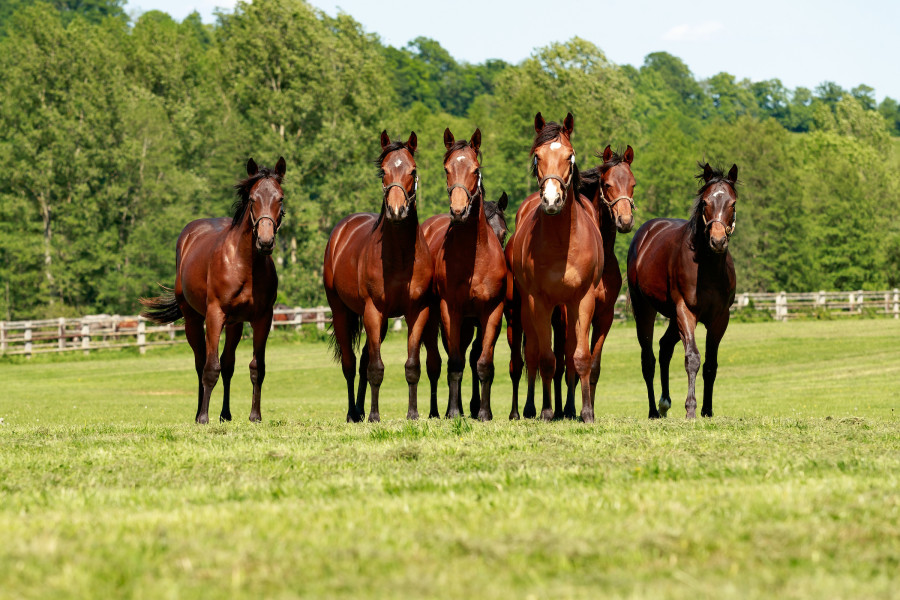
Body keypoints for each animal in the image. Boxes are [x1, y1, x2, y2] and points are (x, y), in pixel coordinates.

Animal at [141, 157, 284, 424]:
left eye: (280, 198)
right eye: (252, 199)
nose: (265, 241)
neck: (245, 264)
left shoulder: (263, 318)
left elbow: (256, 367)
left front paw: (255, 416)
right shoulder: (215, 315)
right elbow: (210, 367)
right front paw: (203, 418)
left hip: (235, 324)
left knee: (228, 365)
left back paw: (225, 414)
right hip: (194, 320)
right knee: (200, 363)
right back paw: (199, 411)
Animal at [324, 131, 436, 422]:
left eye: (412, 170)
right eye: (383, 171)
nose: (397, 211)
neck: (399, 257)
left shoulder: (417, 311)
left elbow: (411, 365)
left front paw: (412, 413)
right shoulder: (373, 311)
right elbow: (376, 367)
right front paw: (375, 416)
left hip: (382, 321)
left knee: (362, 360)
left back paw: (361, 409)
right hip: (342, 312)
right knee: (351, 363)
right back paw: (353, 412)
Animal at [420, 128, 506, 420]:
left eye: (475, 169)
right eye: (447, 168)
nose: (458, 211)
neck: (474, 259)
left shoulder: (491, 313)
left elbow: (484, 362)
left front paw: (484, 412)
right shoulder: (451, 311)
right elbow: (455, 363)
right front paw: (453, 411)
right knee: (440, 360)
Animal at [506, 112, 604, 422]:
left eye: (569, 156)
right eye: (537, 156)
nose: (551, 200)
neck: (562, 242)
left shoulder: (583, 300)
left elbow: (581, 357)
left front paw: (586, 412)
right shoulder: (539, 302)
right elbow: (546, 360)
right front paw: (548, 411)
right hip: (525, 309)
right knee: (532, 355)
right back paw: (529, 409)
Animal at [624, 162, 740, 420]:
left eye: (732, 203)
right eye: (705, 202)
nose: (718, 241)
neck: (707, 269)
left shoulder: (720, 318)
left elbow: (710, 364)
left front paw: (707, 410)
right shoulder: (686, 312)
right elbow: (693, 358)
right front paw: (691, 409)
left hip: (673, 318)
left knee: (665, 347)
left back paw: (664, 403)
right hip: (645, 310)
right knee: (648, 359)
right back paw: (653, 410)